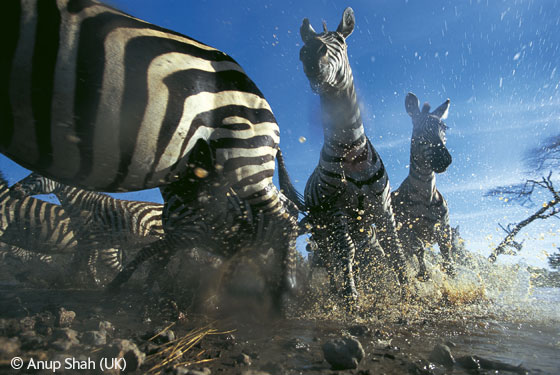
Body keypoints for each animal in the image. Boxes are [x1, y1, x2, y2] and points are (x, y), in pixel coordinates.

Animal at [2, 0, 300, 308]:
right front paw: (143, 291)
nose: (14, 190)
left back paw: (282, 291)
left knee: (282, 224)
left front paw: (117, 286)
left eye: (34, 175)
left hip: (247, 163)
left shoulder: (177, 236)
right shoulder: (177, 237)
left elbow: (141, 256)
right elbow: (154, 262)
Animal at [298, 7, 406, 304]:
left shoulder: (383, 207)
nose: (310, 56)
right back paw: (337, 291)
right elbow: (346, 252)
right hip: (321, 228)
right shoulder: (337, 210)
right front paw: (351, 297)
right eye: (304, 47)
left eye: (341, 42)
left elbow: (395, 251)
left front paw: (410, 293)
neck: (351, 151)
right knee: (329, 259)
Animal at [392, 93, 458, 282]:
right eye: (418, 131)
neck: (426, 196)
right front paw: (423, 275)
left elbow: (447, 254)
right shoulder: (407, 230)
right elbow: (419, 247)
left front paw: (452, 274)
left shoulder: (443, 227)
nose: (443, 160)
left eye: (444, 128)